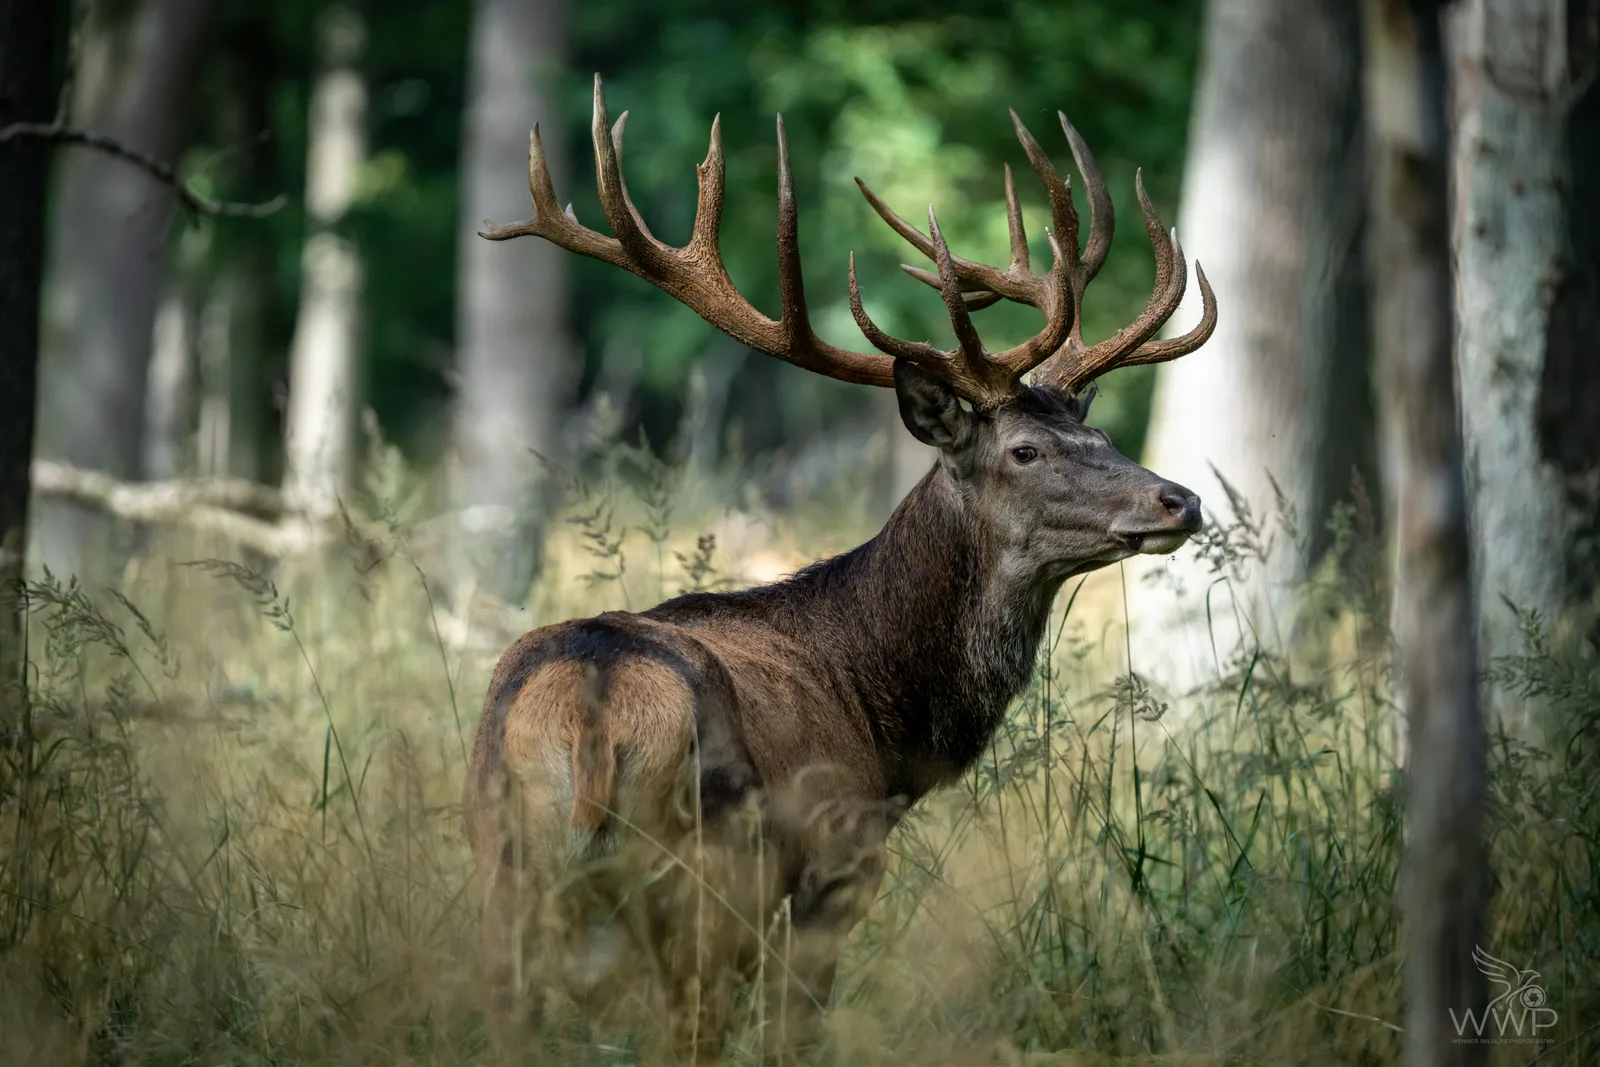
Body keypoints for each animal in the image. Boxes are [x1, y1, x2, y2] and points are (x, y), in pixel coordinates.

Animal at [463, 74, 1217, 1063]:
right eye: (1024, 450)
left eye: (1097, 434)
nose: (1181, 500)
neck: (885, 714)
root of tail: (590, 716)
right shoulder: (838, 862)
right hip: (709, 876)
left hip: (501, 862)